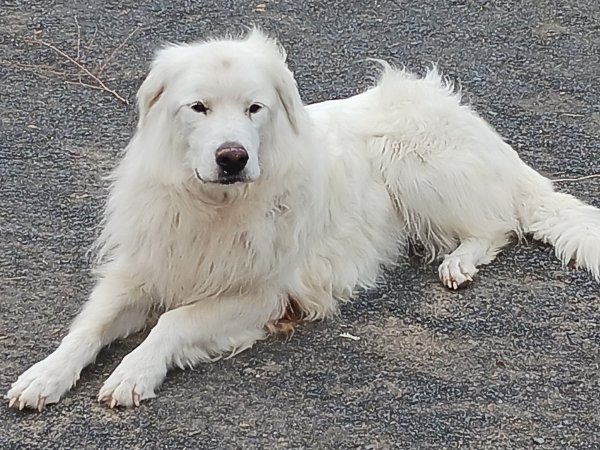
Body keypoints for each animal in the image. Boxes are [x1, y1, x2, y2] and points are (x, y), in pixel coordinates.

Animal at [5, 30, 600, 412]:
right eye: (198, 108)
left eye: (254, 108)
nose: (232, 157)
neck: (214, 206)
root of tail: (483, 130)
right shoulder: (146, 266)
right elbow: (89, 326)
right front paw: (45, 375)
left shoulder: (261, 294)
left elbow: (172, 321)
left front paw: (133, 372)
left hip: (413, 161)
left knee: (496, 226)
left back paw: (459, 262)